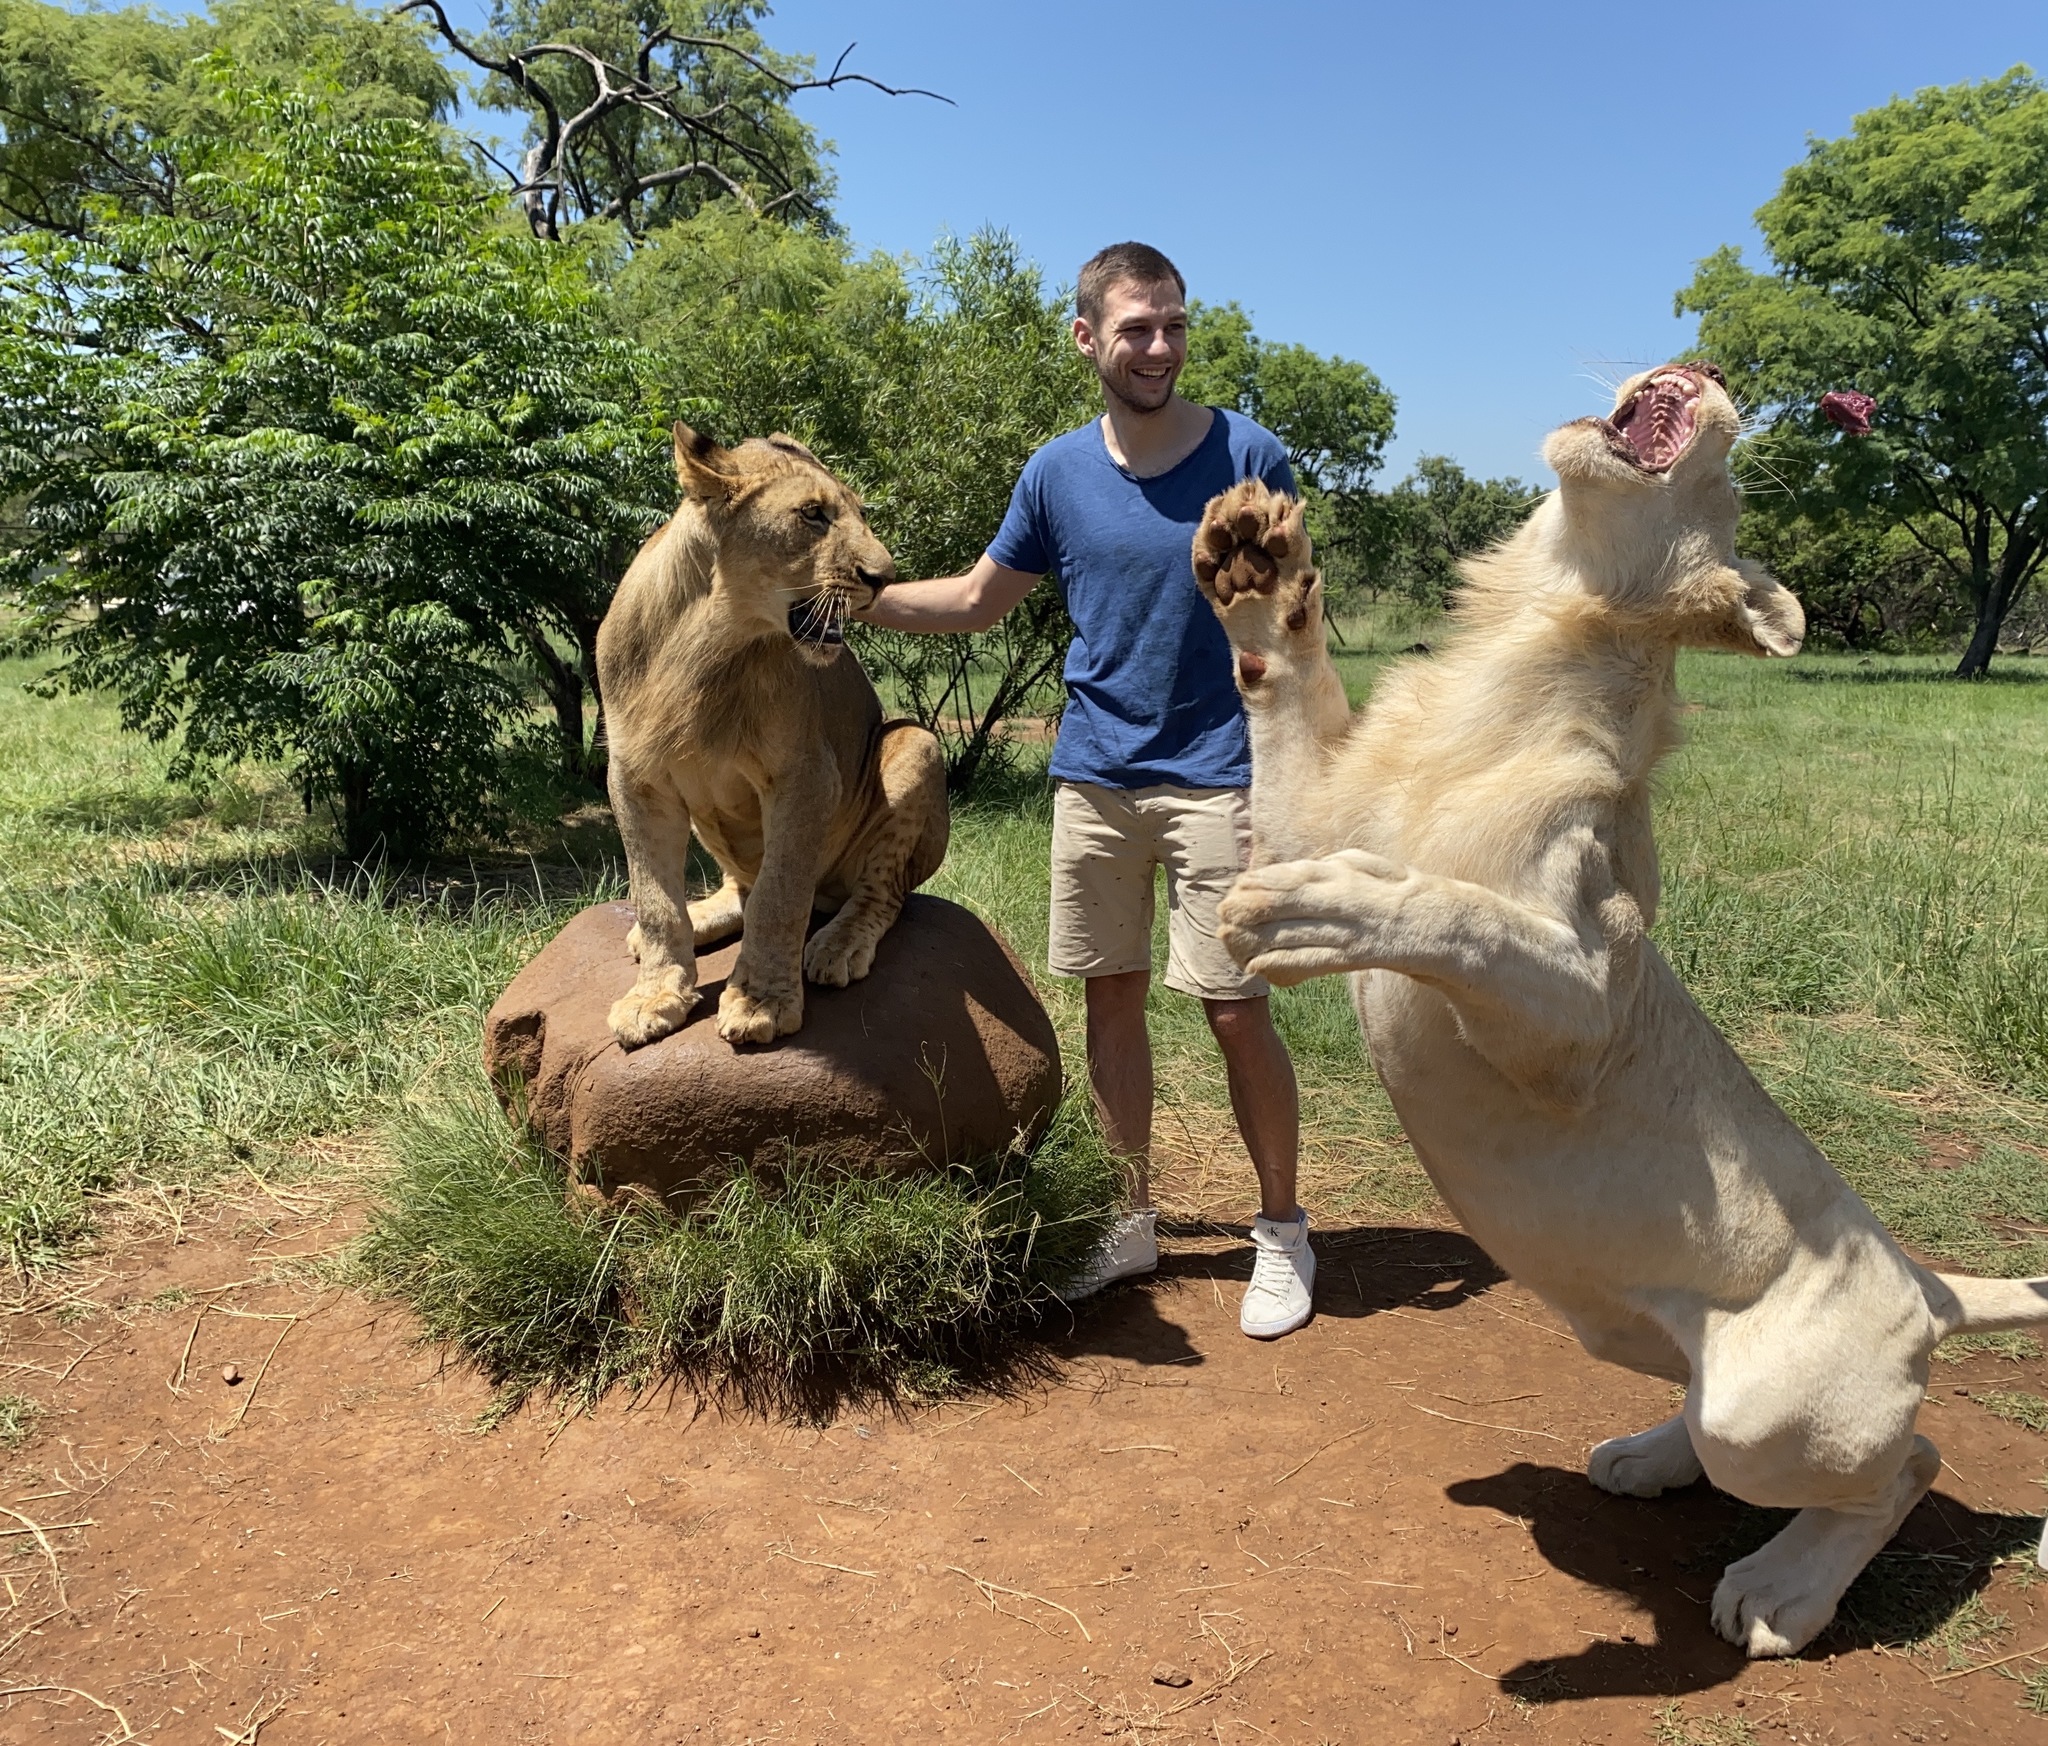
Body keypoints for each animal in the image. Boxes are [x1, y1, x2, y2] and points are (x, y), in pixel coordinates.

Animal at [1196, 360, 2048, 1653]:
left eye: (1731, 486)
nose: (1707, 374)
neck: (1512, 661)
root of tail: (1924, 1284)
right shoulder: (1304, 813)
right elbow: (1280, 698)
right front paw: (1253, 565)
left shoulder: (1584, 998)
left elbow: (1455, 913)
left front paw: (1308, 916)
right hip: (1612, 1323)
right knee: (1707, 1413)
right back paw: (1644, 1457)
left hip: (1766, 1413)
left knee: (1905, 1465)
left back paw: (1779, 1594)